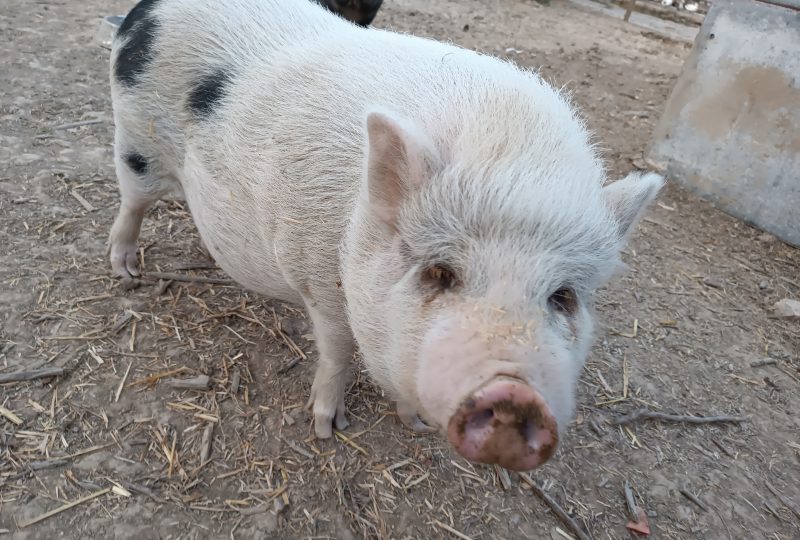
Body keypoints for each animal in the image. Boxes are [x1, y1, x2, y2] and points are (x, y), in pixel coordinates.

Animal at [111, 0, 664, 470]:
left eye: (563, 296)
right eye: (439, 271)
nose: (514, 396)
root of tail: (140, 13)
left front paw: (413, 423)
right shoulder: (319, 280)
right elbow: (337, 353)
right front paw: (328, 429)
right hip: (133, 140)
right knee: (132, 202)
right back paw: (127, 271)